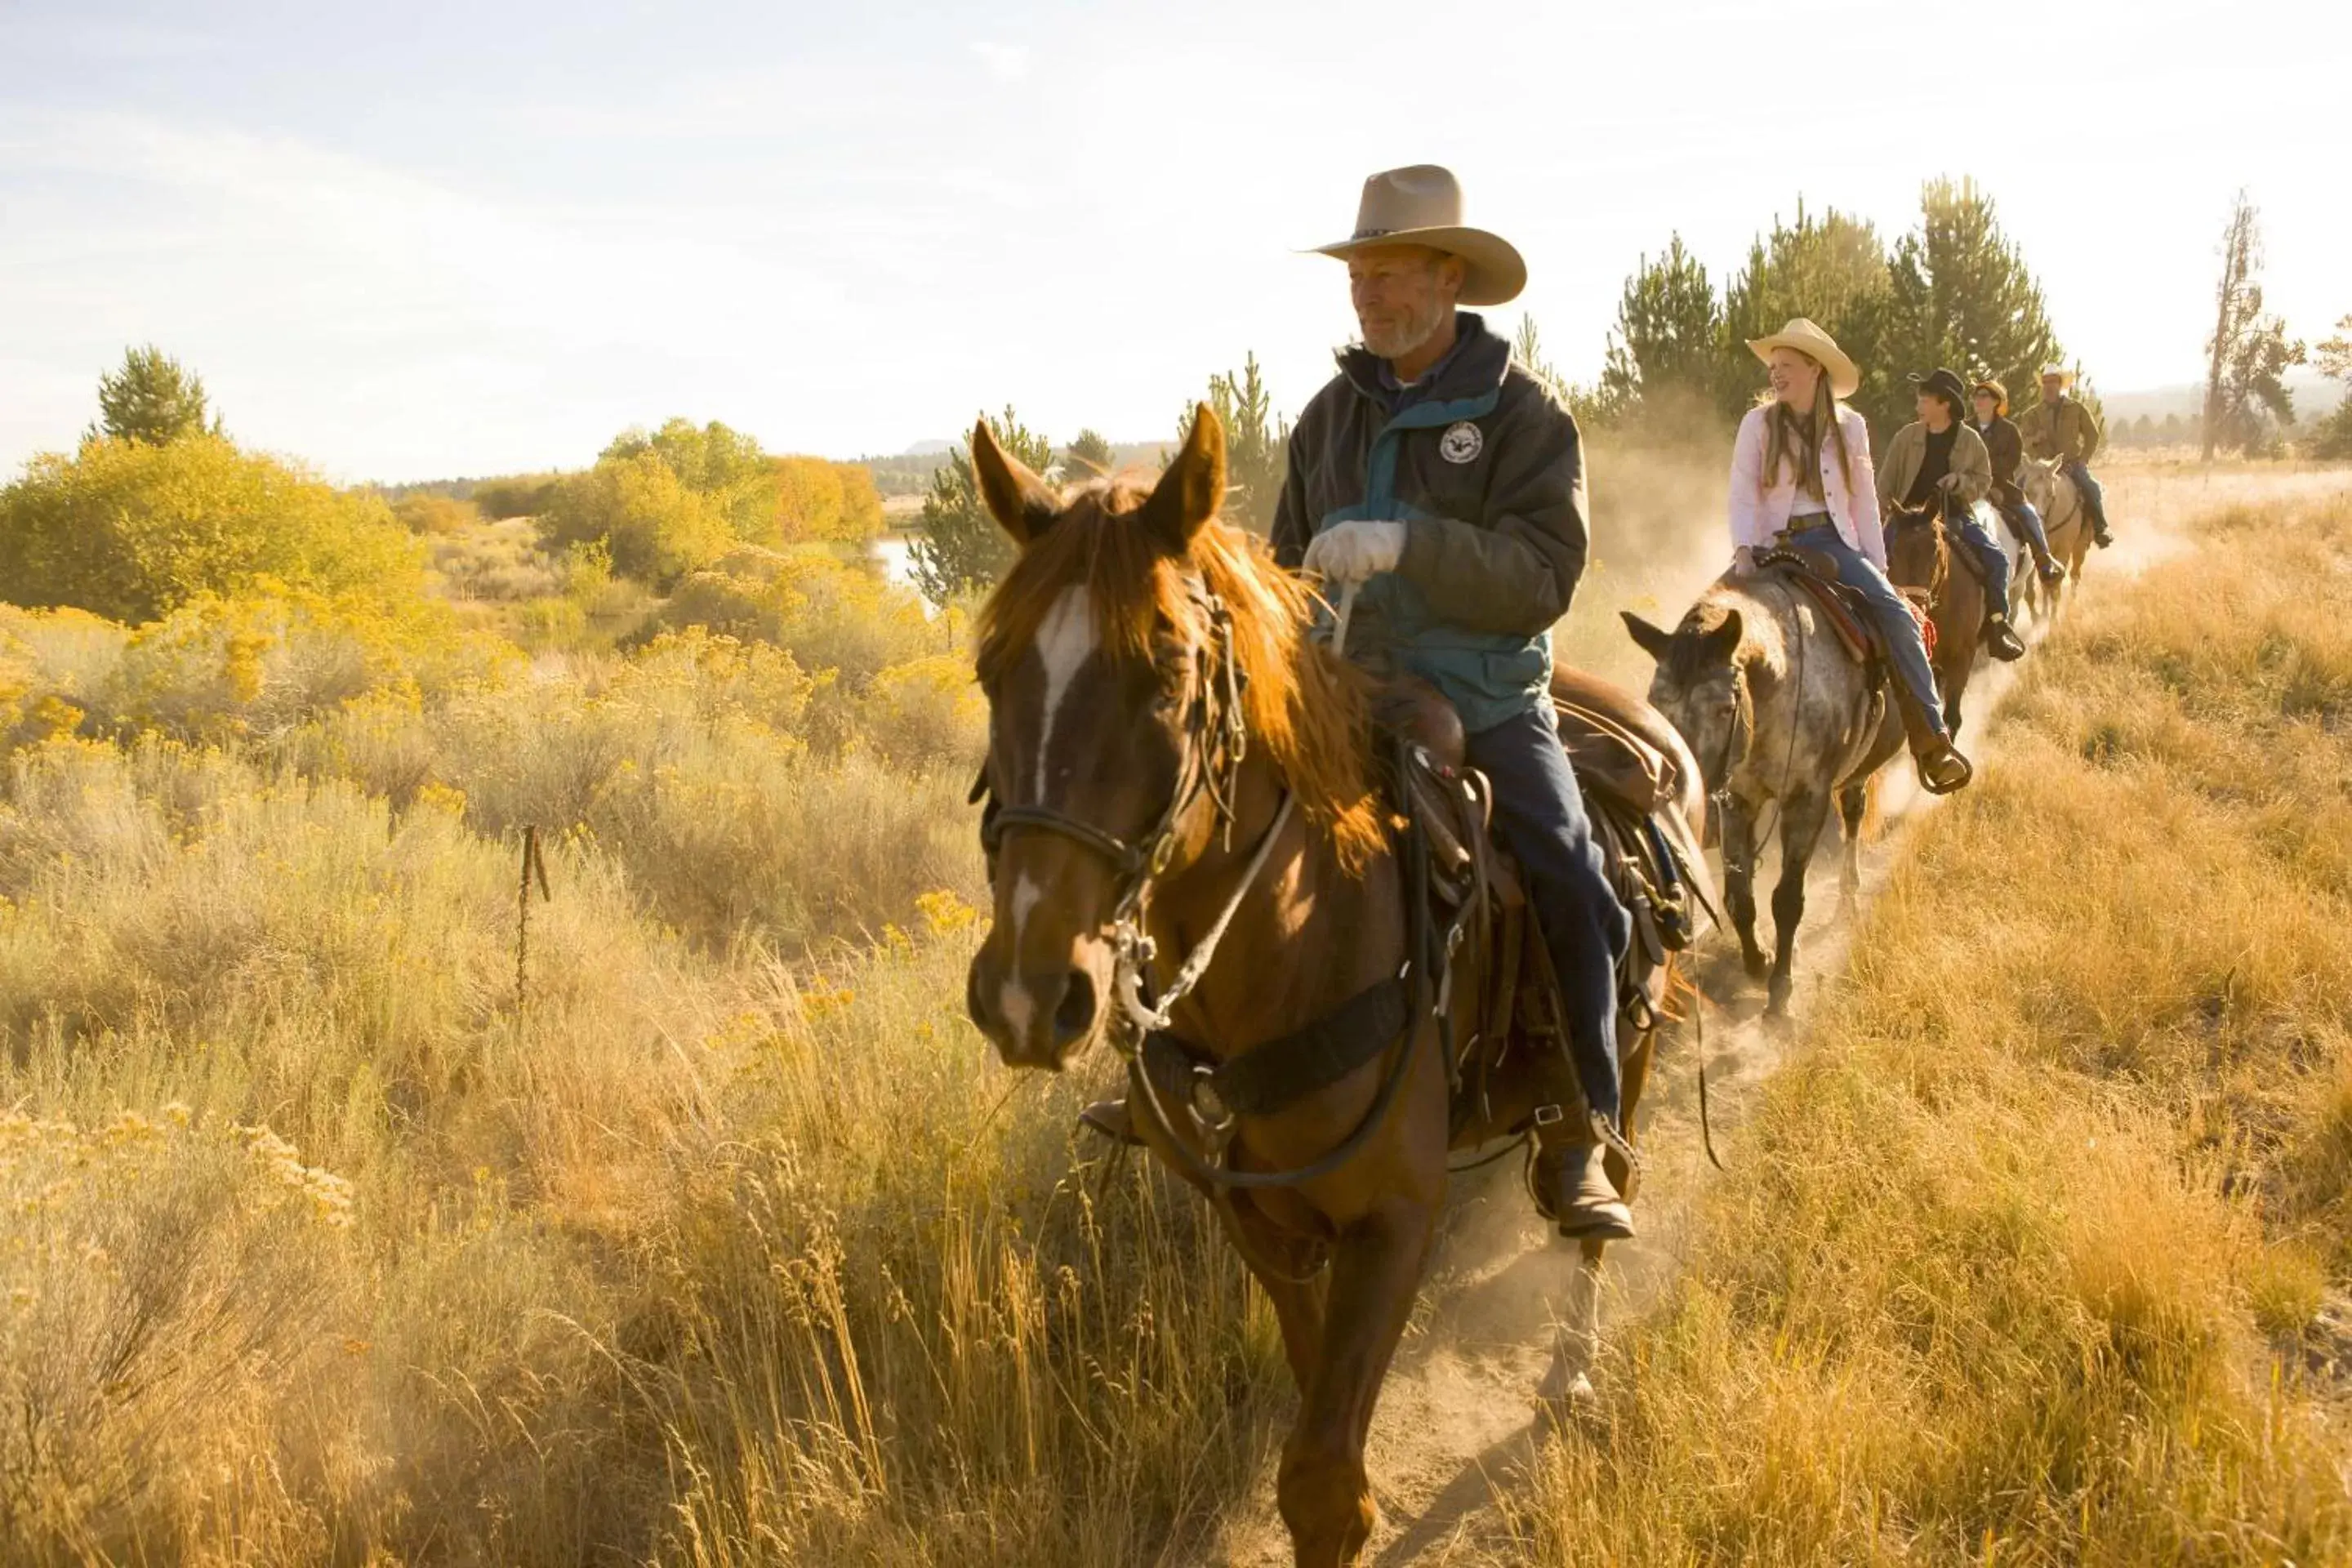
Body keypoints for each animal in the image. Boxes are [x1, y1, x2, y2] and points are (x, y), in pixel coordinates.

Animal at [964, 408, 1703, 1568]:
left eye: (1170, 673)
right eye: (994, 669)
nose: (1030, 995)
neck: (1293, 947)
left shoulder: (1395, 1220)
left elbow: (1324, 1491)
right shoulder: (1262, 1224)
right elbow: (1316, 1443)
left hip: (1627, 1051)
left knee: (1601, 1195)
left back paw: (1572, 1356)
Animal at [1627, 576, 1900, 1020]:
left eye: (1724, 708)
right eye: (1656, 705)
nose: (1686, 796)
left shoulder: (1806, 802)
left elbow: (1788, 901)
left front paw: (1780, 994)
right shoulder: (1737, 802)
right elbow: (1740, 898)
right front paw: (1759, 963)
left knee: (1853, 814)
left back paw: (1848, 897)